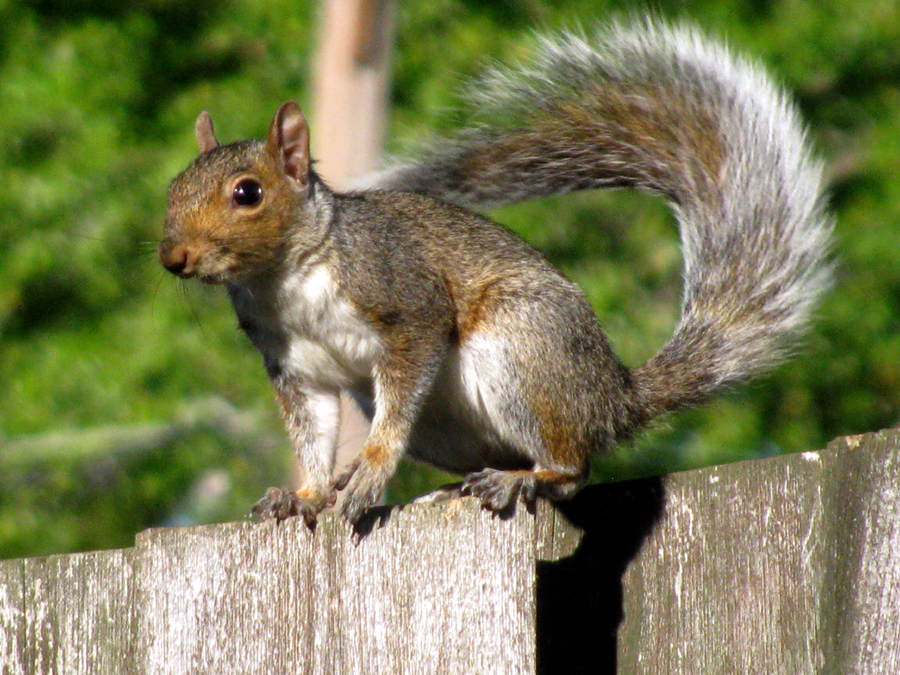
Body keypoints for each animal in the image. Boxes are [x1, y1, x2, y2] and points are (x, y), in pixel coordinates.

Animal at [160, 19, 828, 528]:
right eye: (173, 189)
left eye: (248, 192)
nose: (174, 258)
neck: (285, 281)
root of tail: (614, 398)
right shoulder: (297, 368)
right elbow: (313, 437)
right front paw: (306, 494)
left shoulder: (404, 299)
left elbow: (402, 388)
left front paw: (370, 473)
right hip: (448, 423)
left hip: (523, 348)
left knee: (573, 468)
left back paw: (525, 479)